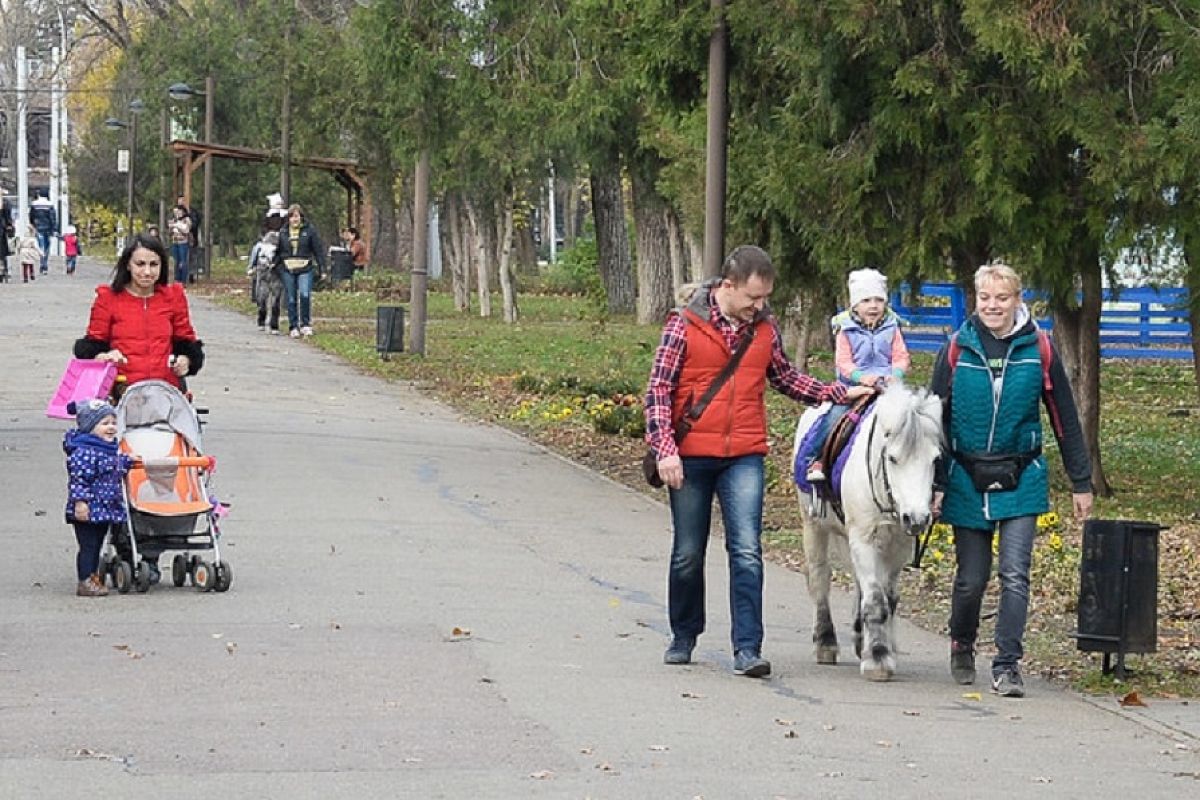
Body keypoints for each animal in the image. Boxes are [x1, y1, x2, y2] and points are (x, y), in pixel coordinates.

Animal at [792, 383, 940, 681]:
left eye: (934, 459)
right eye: (893, 458)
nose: (918, 518)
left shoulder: (897, 546)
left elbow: (888, 599)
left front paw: (880, 648)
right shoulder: (863, 538)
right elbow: (875, 599)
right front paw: (878, 659)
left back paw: (861, 639)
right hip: (814, 525)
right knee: (820, 579)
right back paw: (825, 642)